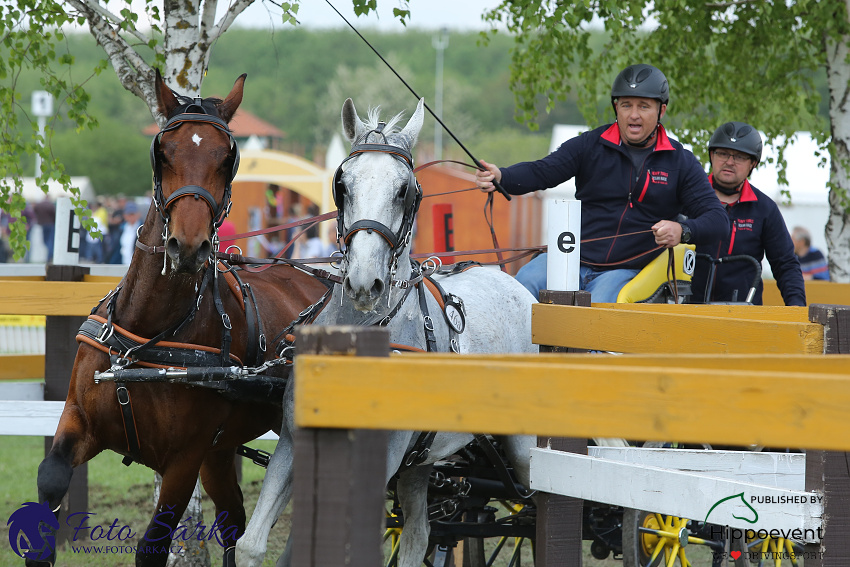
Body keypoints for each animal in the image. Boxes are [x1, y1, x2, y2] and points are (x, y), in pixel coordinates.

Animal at [27, 72, 328, 567]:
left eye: (226, 159)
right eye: (163, 151)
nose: (187, 247)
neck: (146, 339)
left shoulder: (185, 459)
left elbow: (153, 546)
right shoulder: (78, 420)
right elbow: (50, 479)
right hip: (221, 451)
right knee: (233, 519)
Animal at [232, 98, 536, 567]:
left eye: (404, 190)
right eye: (342, 184)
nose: (363, 282)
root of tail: (512, 281)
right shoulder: (294, 443)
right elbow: (253, 544)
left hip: (521, 450)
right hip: (421, 463)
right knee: (418, 534)